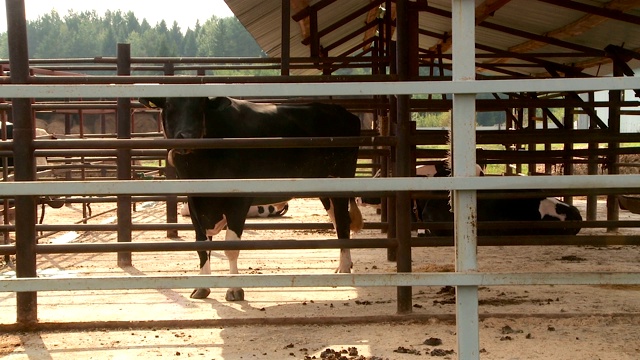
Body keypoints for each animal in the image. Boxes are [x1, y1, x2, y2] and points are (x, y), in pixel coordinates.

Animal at [140, 96, 362, 300]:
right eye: (169, 105)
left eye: (201, 106)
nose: (187, 136)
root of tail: (343, 112)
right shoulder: (195, 200)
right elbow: (201, 246)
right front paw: (202, 287)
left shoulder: (239, 200)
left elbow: (231, 247)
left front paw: (234, 289)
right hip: (324, 187)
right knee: (336, 221)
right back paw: (343, 265)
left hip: (341, 181)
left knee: (343, 223)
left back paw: (344, 269)